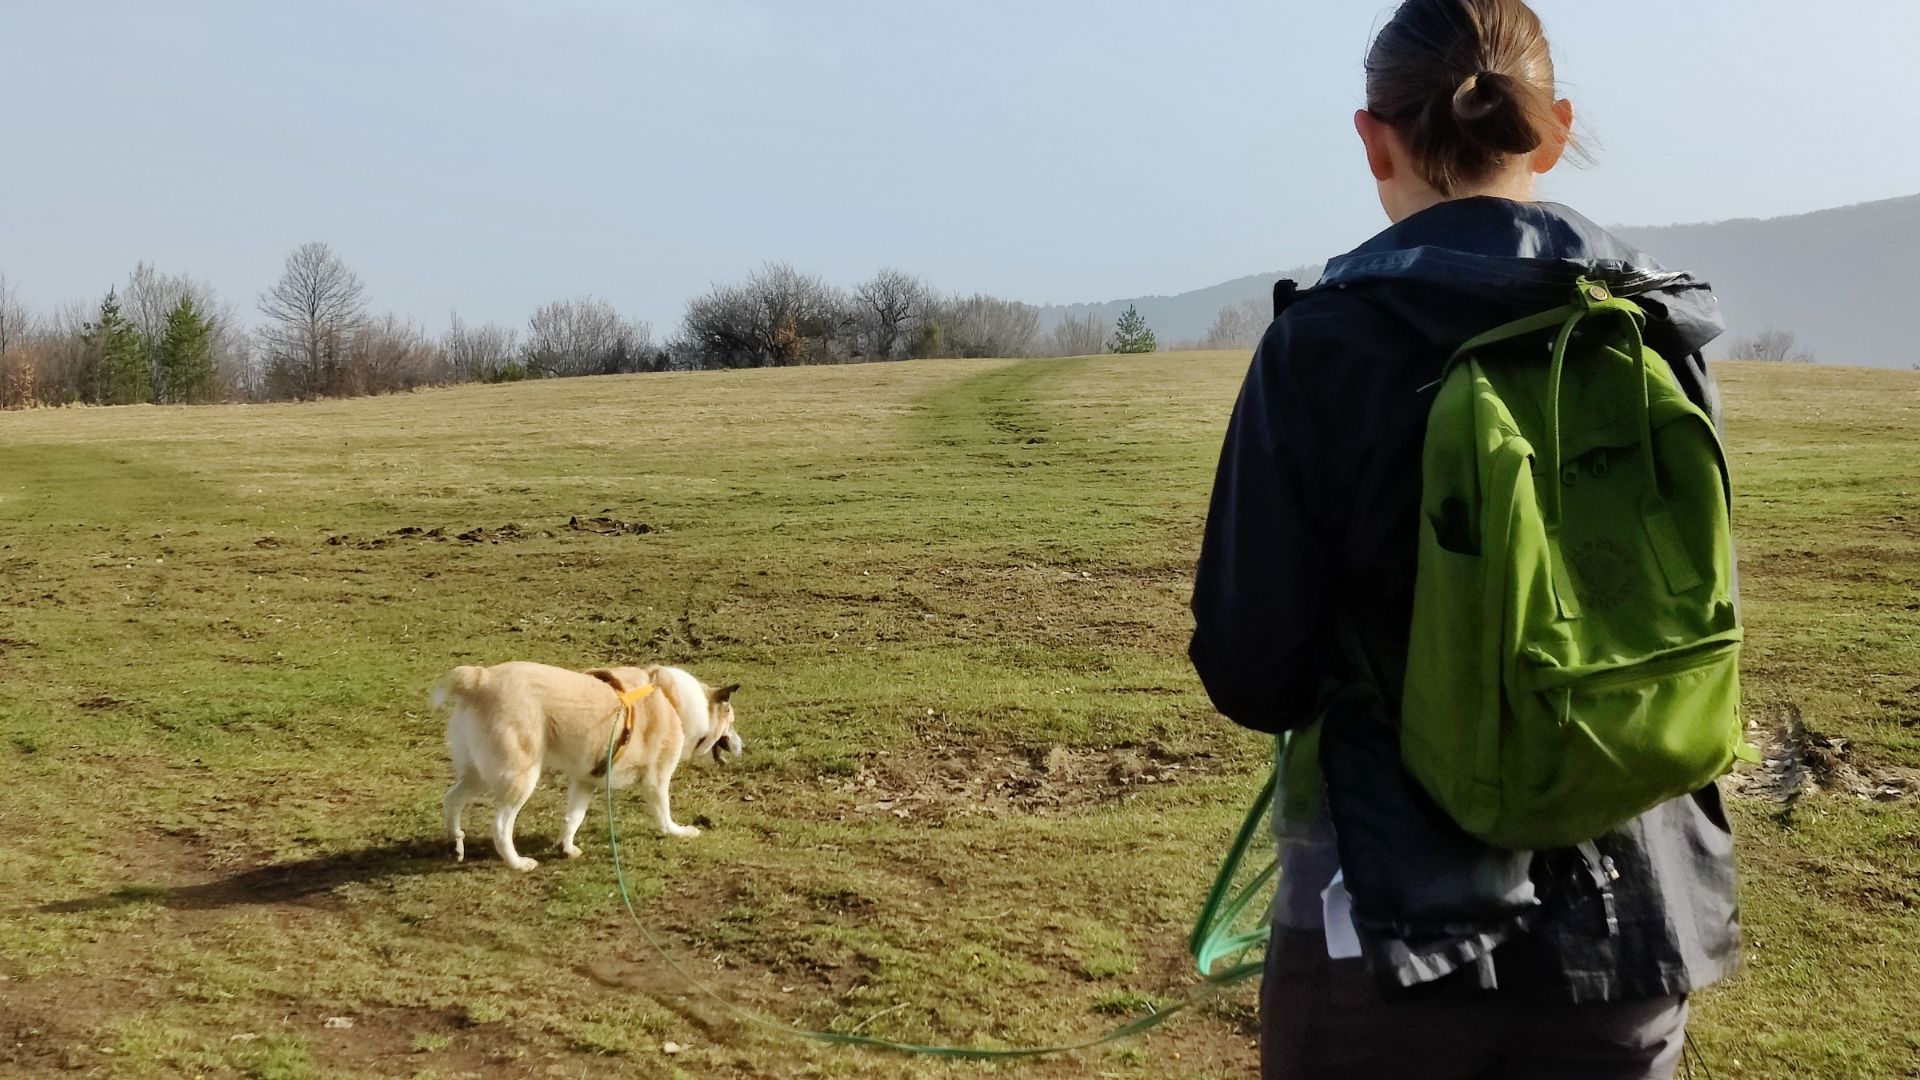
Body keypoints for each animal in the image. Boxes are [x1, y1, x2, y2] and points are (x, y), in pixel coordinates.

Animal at [432, 661, 737, 868]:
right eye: (731, 723)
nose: (740, 744)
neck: (673, 701)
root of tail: (479, 679)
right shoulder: (656, 779)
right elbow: (664, 813)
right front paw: (678, 832)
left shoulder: (586, 779)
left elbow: (574, 817)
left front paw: (567, 848)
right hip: (519, 777)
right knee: (500, 826)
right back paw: (518, 863)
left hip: (478, 774)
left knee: (451, 799)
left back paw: (455, 844)